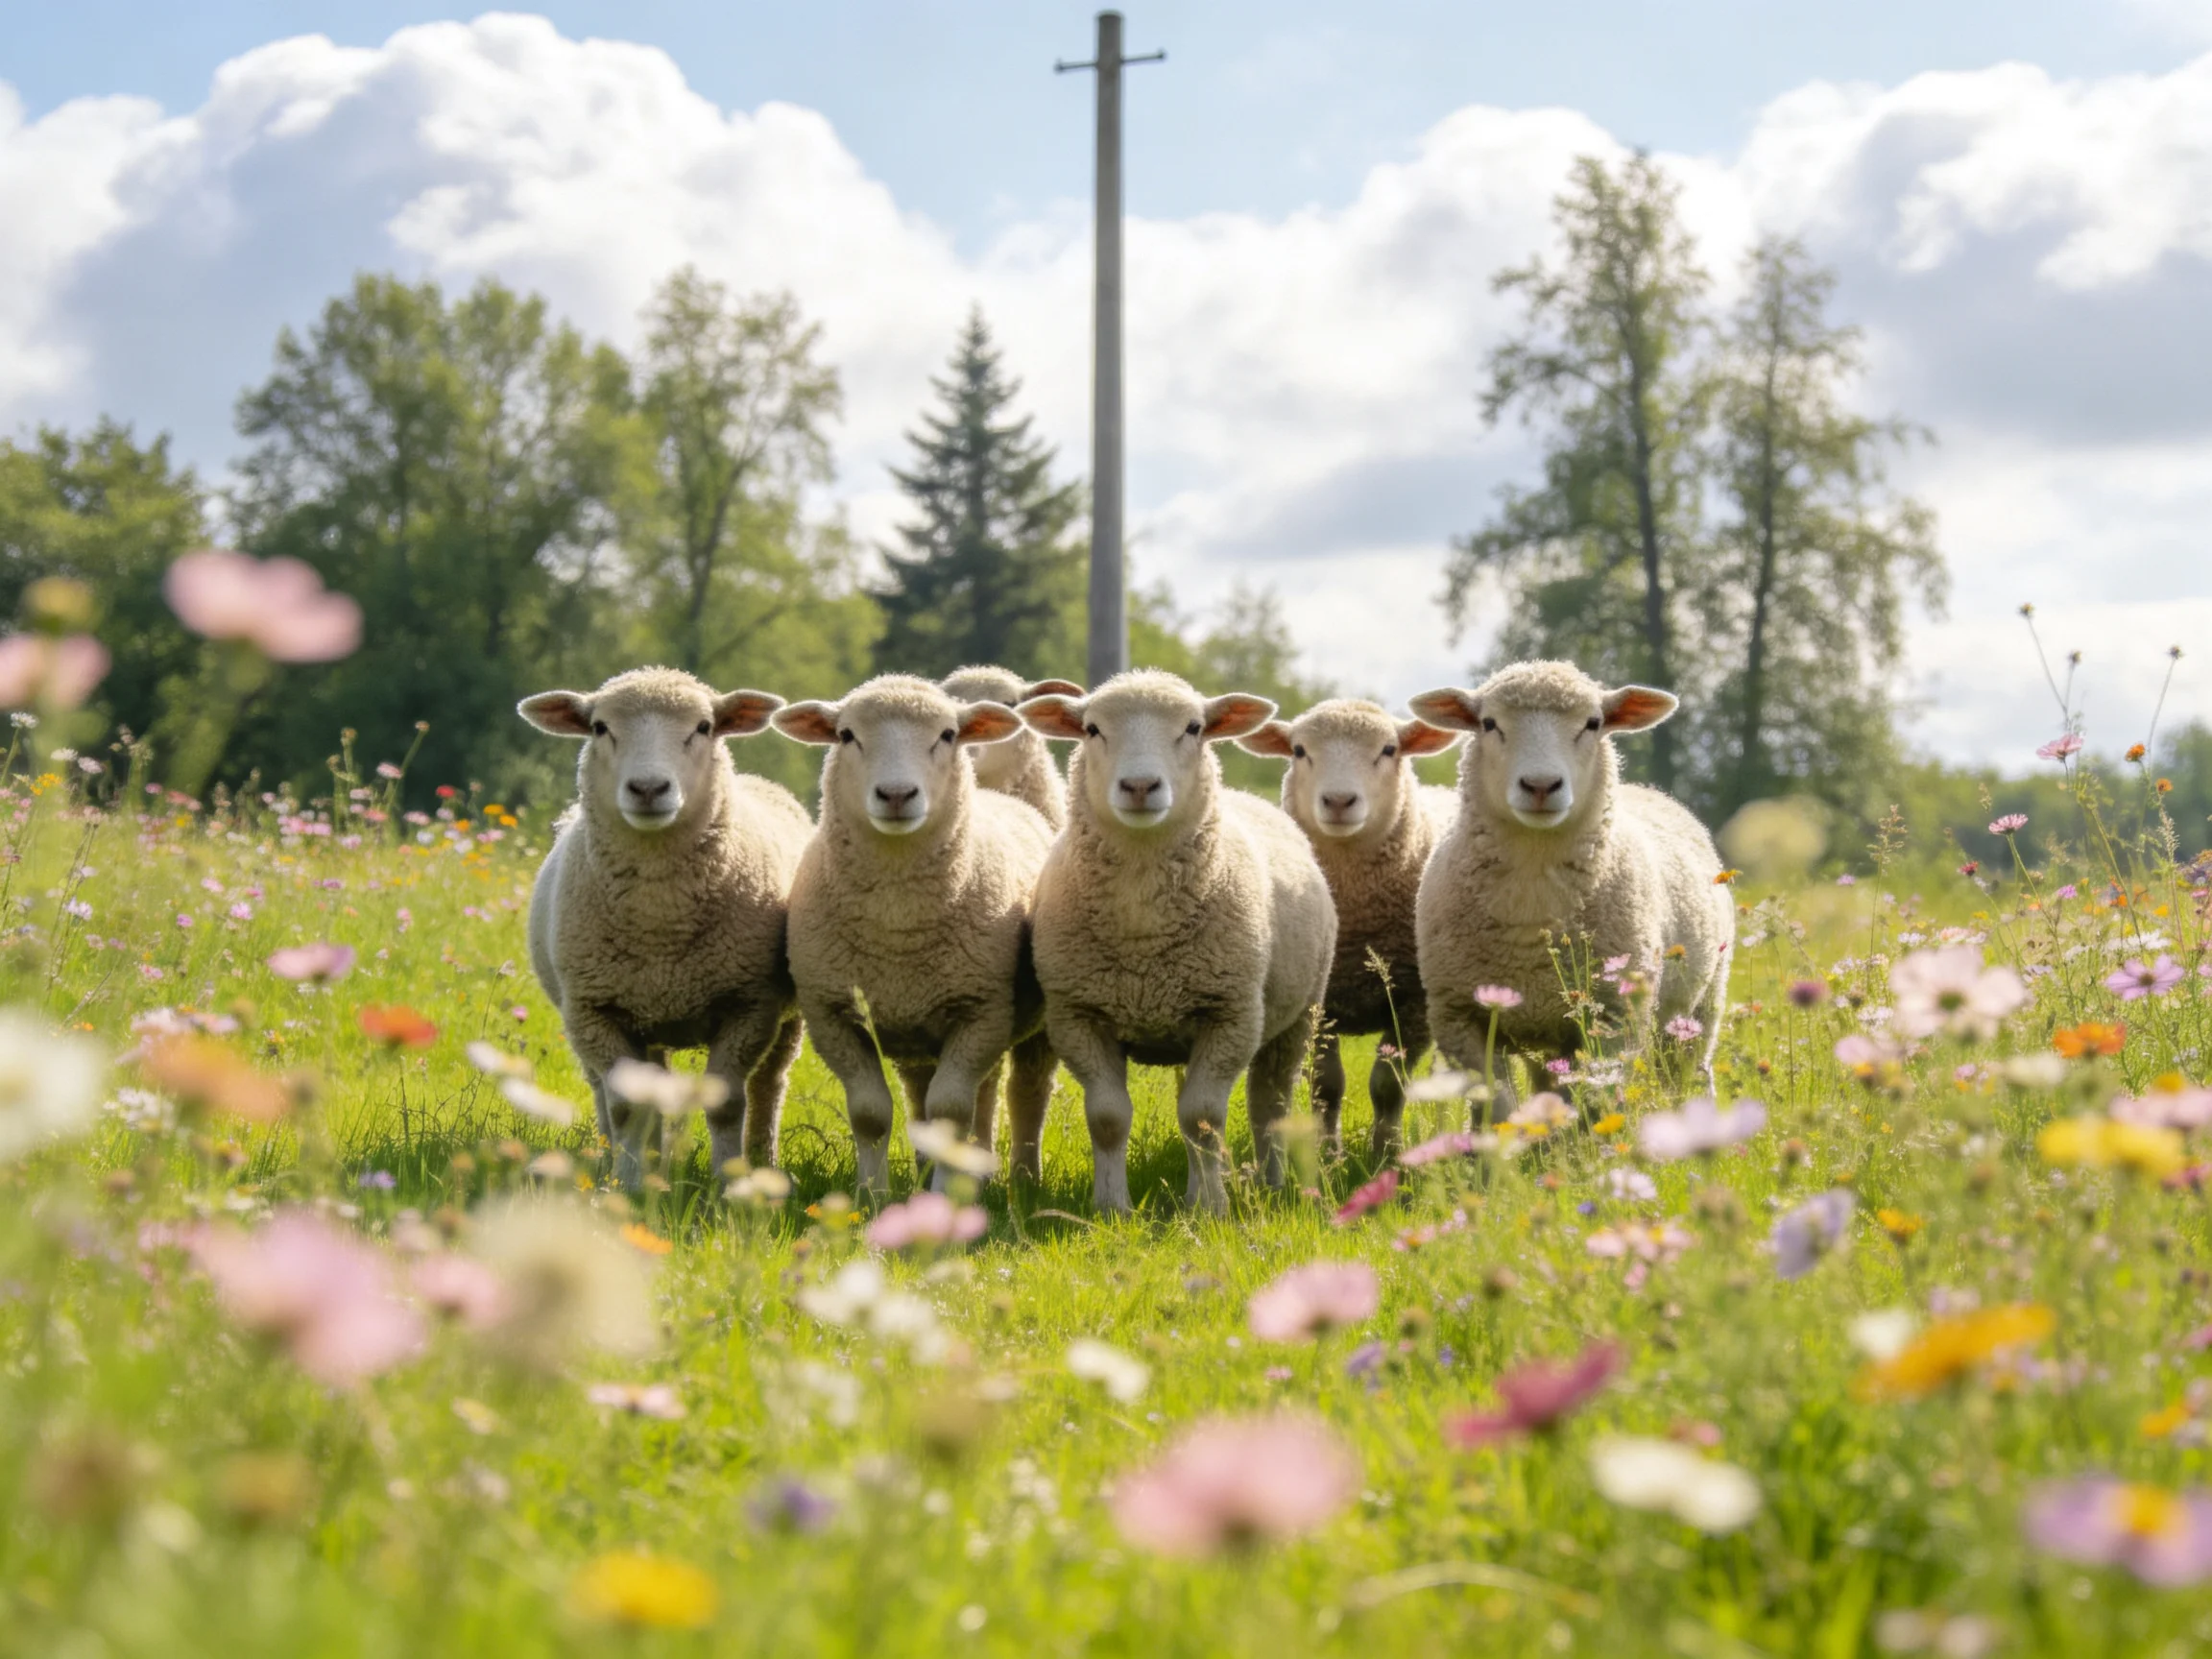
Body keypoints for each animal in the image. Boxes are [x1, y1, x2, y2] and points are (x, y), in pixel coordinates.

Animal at [520, 667, 811, 1189]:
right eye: (599, 727)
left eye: (703, 727)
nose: (649, 788)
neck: (661, 923)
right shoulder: (596, 1011)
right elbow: (627, 1107)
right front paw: (628, 1186)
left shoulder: (749, 1007)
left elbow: (727, 1103)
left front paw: (727, 1183)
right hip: (614, 1017)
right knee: (609, 1092)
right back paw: (630, 1162)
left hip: (786, 1019)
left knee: (768, 1086)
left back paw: (763, 1161)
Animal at [773, 675, 1057, 1197]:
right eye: (846, 735)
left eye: (947, 734)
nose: (897, 794)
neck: (897, 922)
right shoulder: (833, 1015)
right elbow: (870, 1113)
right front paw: (871, 1194)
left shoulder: (979, 1010)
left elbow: (950, 1111)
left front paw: (945, 1195)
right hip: (917, 1028)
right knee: (932, 1093)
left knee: (1025, 1092)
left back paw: (1023, 1181)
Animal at [1018, 670, 1337, 1215]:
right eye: (1092, 729)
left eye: (1193, 728)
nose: (1140, 786)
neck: (1144, 928)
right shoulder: (1079, 1015)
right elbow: (1109, 1118)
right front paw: (1112, 1207)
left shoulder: (1230, 1013)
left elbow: (1202, 1118)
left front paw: (1210, 1207)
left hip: (1298, 1017)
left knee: (1269, 1102)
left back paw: (1269, 1183)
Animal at [1236, 699, 1460, 1154]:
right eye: (1299, 750)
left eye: (1389, 749)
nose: (1339, 800)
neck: (1357, 912)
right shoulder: (1322, 1001)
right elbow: (1327, 1084)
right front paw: (1329, 1152)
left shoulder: (1412, 1001)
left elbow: (1388, 1085)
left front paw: (1386, 1152)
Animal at [1408, 660, 1733, 1119]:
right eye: (1489, 723)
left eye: (1593, 723)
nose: (1541, 785)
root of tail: (1651, 790)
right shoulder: (1460, 1019)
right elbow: (1498, 1109)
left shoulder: (1613, 1017)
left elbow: (1593, 1105)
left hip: (1699, 1004)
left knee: (1689, 1073)